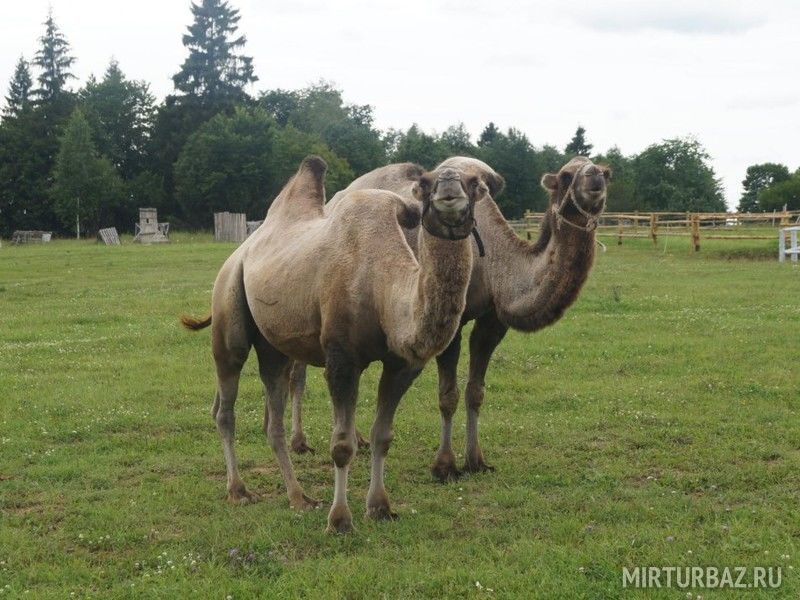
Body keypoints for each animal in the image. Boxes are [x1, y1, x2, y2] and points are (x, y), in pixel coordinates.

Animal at [182, 156, 491, 533]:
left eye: (474, 184)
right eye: (428, 183)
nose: (448, 186)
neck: (382, 285)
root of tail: (239, 252)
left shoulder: (402, 365)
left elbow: (382, 436)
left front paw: (380, 506)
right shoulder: (342, 358)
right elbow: (342, 445)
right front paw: (340, 519)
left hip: (274, 345)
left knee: (272, 416)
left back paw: (299, 497)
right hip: (229, 311)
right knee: (226, 404)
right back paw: (239, 490)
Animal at [288, 155, 611, 482]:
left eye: (605, 171)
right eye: (567, 176)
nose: (595, 177)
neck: (494, 263)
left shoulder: (491, 322)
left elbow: (475, 391)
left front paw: (476, 460)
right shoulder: (451, 321)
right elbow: (448, 395)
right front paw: (444, 465)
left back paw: (360, 440)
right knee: (298, 370)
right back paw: (300, 443)